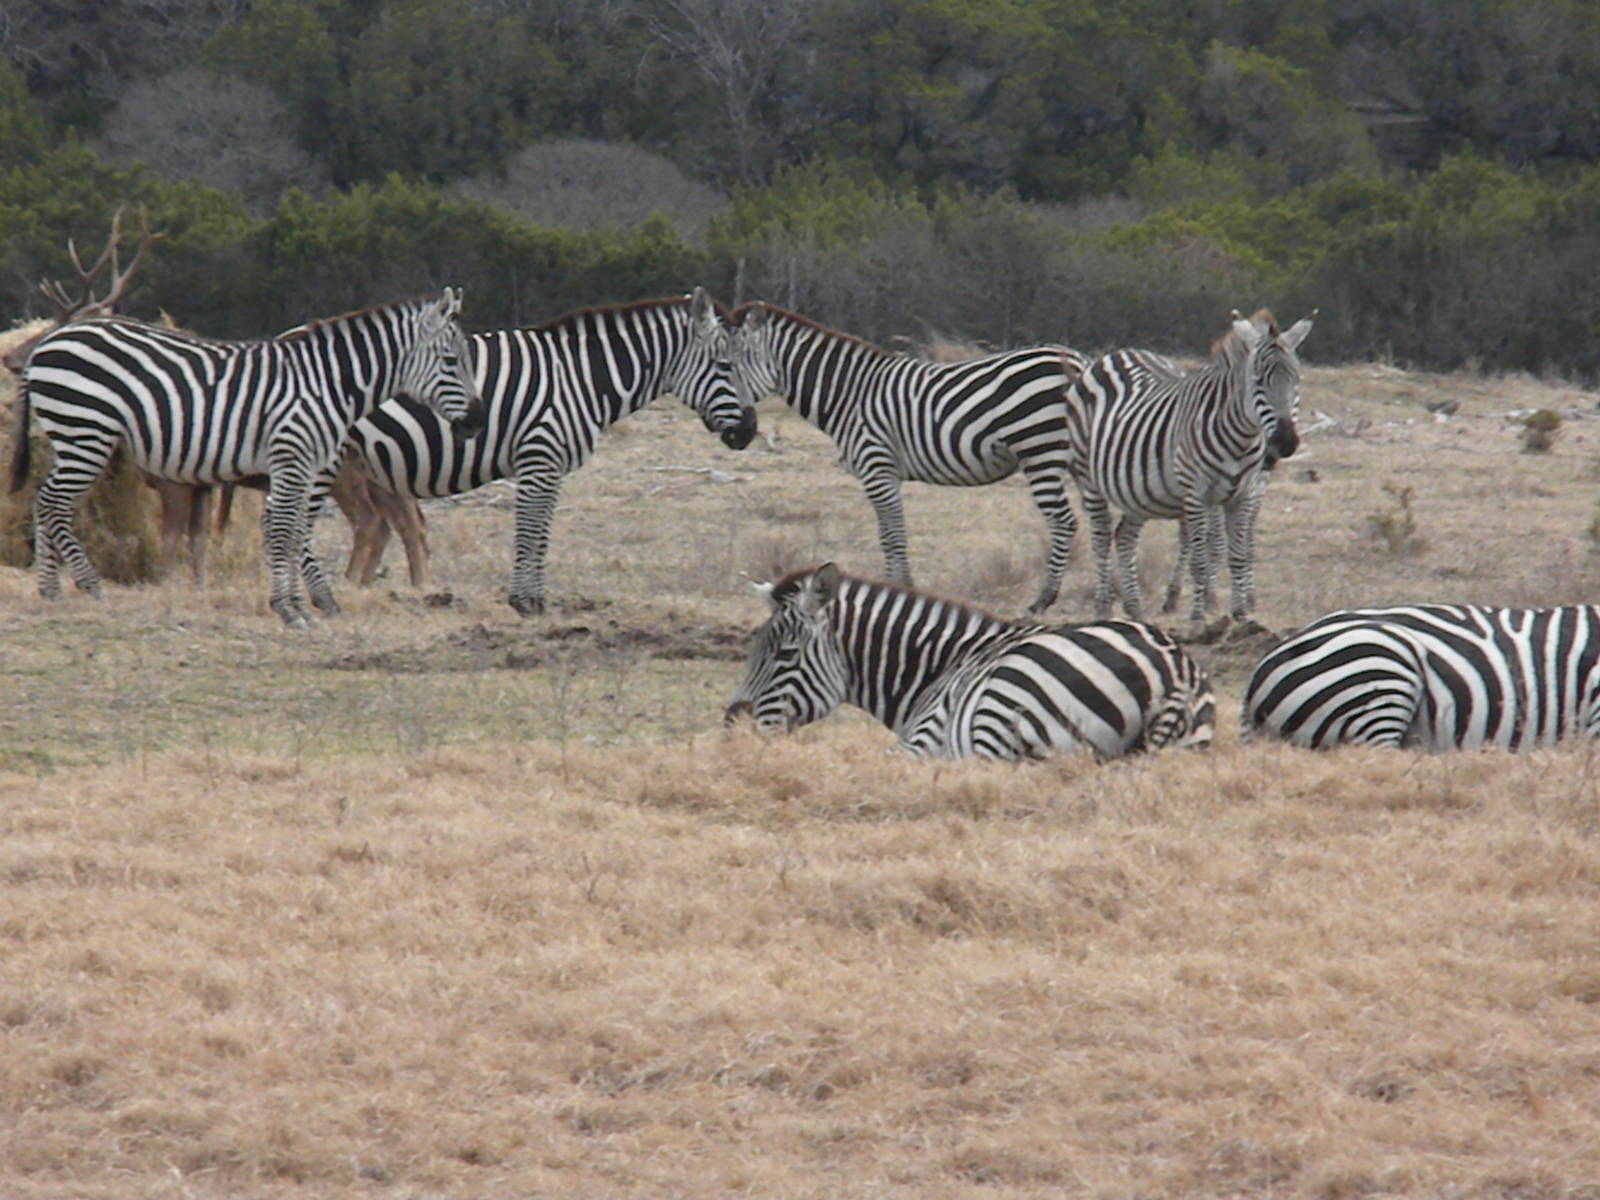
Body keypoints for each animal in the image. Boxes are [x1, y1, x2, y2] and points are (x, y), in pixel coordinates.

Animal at [12, 290, 484, 628]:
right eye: (451, 360)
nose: (477, 420)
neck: (328, 384)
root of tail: (48, 343)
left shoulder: (306, 464)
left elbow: (293, 533)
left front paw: (299, 605)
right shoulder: (291, 457)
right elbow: (283, 531)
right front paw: (290, 610)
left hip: (73, 435)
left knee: (45, 501)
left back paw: (51, 590)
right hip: (86, 430)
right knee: (53, 503)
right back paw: (89, 586)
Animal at [310, 288, 755, 616]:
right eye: (726, 366)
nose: (750, 431)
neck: (582, 379)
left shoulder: (552, 465)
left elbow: (541, 535)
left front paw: (534, 600)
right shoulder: (539, 458)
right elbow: (530, 533)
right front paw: (525, 602)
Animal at [724, 563, 1215, 761]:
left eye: (786, 654)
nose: (734, 727)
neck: (938, 669)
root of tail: (1173, 666)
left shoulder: (923, 738)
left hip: (1004, 702)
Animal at [731, 303, 1088, 614]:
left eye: (727, 367)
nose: (739, 436)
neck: (848, 395)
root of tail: (1073, 359)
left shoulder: (877, 467)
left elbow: (892, 537)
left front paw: (899, 591)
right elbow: (888, 536)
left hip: (1040, 450)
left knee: (1064, 521)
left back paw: (1043, 600)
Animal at [1063, 309, 1314, 624]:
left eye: (1296, 380)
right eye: (1257, 381)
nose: (1284, 443)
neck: (1242, 440)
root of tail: (1113, 355)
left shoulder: (1243, 495)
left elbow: (1238, 555)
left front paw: (1241, 615)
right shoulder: (1198, 494)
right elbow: (1201, 557)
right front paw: (1199, 616)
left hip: (1136, 489)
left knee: (1124, 538)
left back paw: (1134, 609)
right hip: (1089, 480)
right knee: (1101, 537)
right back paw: (1103, 608)